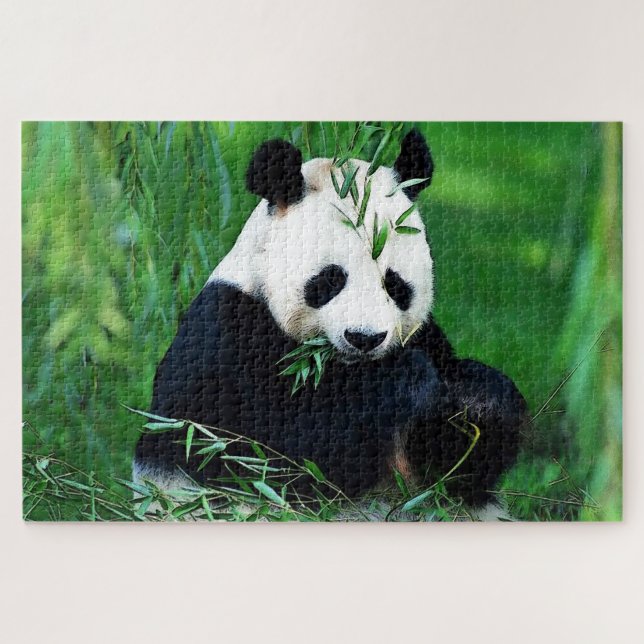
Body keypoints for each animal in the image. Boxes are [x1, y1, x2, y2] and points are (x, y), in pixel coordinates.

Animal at [134, 129, 528, 519]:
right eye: (330, 280)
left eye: (395, 284)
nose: (364, 338)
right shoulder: (224, 333)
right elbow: (265, 454)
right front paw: (404, 378)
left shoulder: (424, 336)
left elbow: (454, 470)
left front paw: (477, 400)